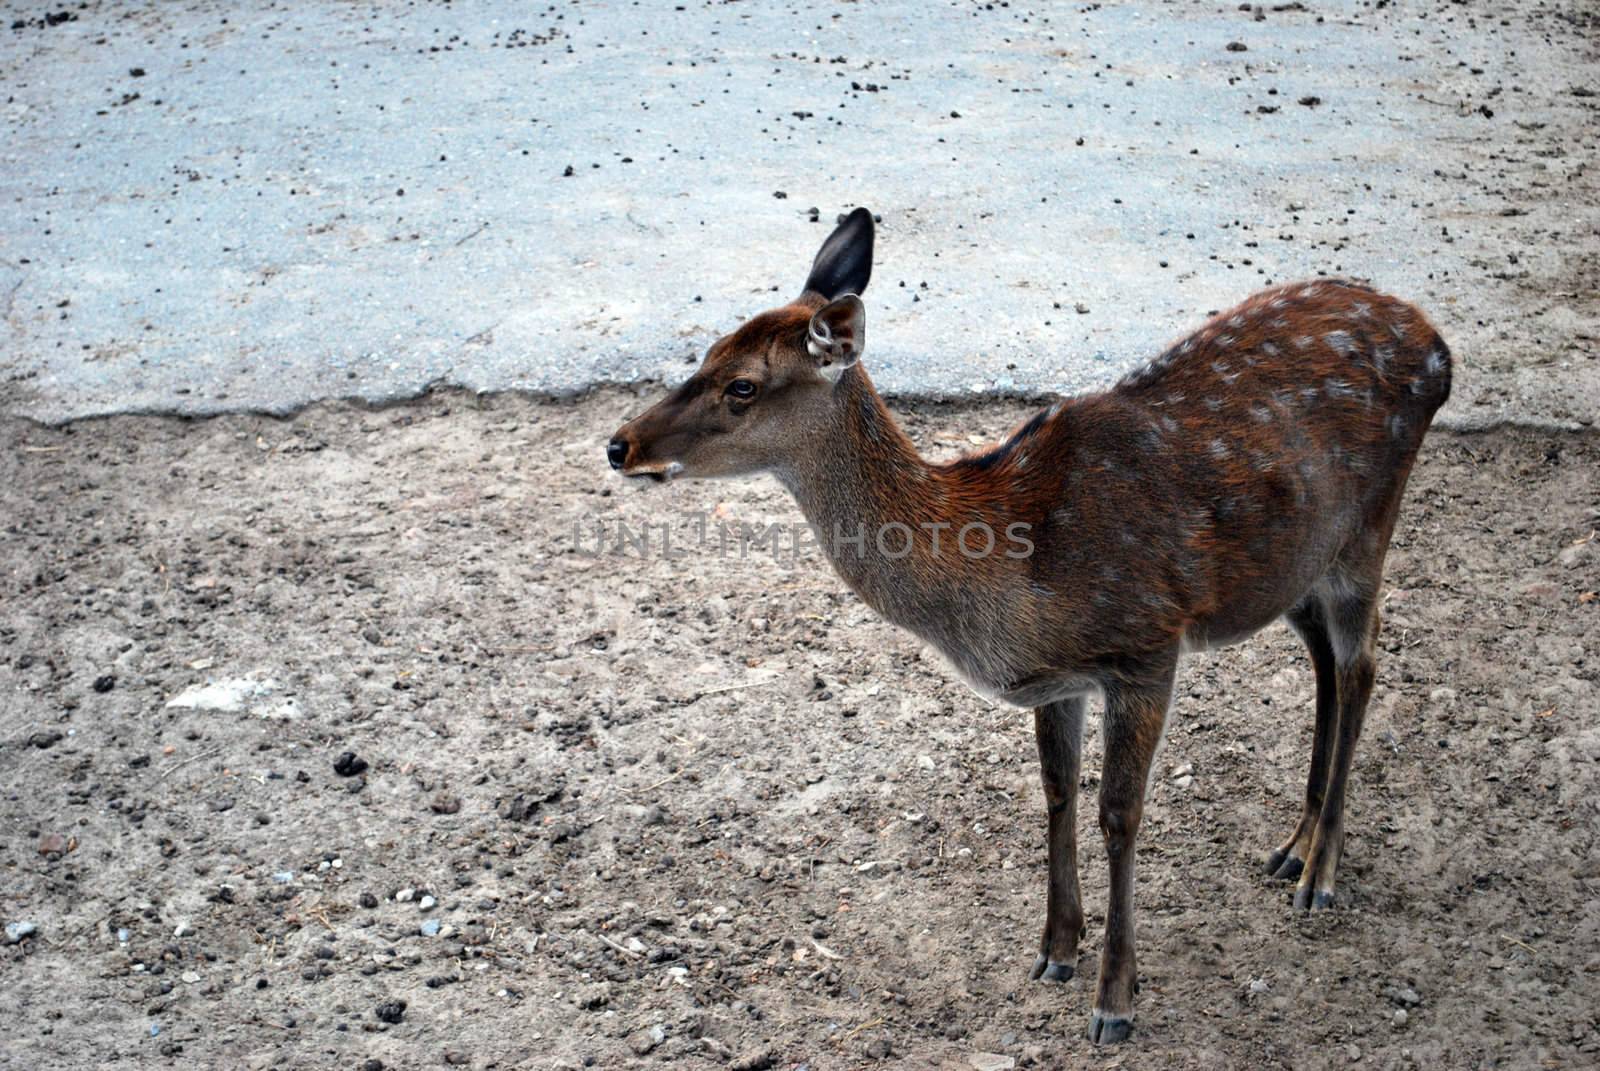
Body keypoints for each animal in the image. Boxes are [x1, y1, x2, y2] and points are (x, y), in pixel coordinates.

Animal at [601, 208, 1452, 1043]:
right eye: (706, 350)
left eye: (743, 384)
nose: (619, 443)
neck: (1005, 573)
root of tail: (1436, 342)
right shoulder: (1059, 677)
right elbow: (1056, 791)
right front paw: (1055, 951)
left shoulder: (1148, 641)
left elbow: (1118, 814)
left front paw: (1116, 999)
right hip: (1291, 563)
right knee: (1323, 660)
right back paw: (1294, 846)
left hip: (1367, 525)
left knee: (1362, 664)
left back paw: (1322, 874)